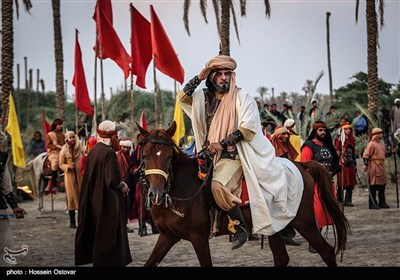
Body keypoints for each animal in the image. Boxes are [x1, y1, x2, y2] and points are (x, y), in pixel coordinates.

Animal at [138, 122, 350, 266]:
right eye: (145, 156)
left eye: (169, 156)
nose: (156, 194)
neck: (182, 188)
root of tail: (300, 165)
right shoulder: (167, 236)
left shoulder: (199, 238)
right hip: (275, 225)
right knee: (282, 258)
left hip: (304, 222)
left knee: (327, 251)